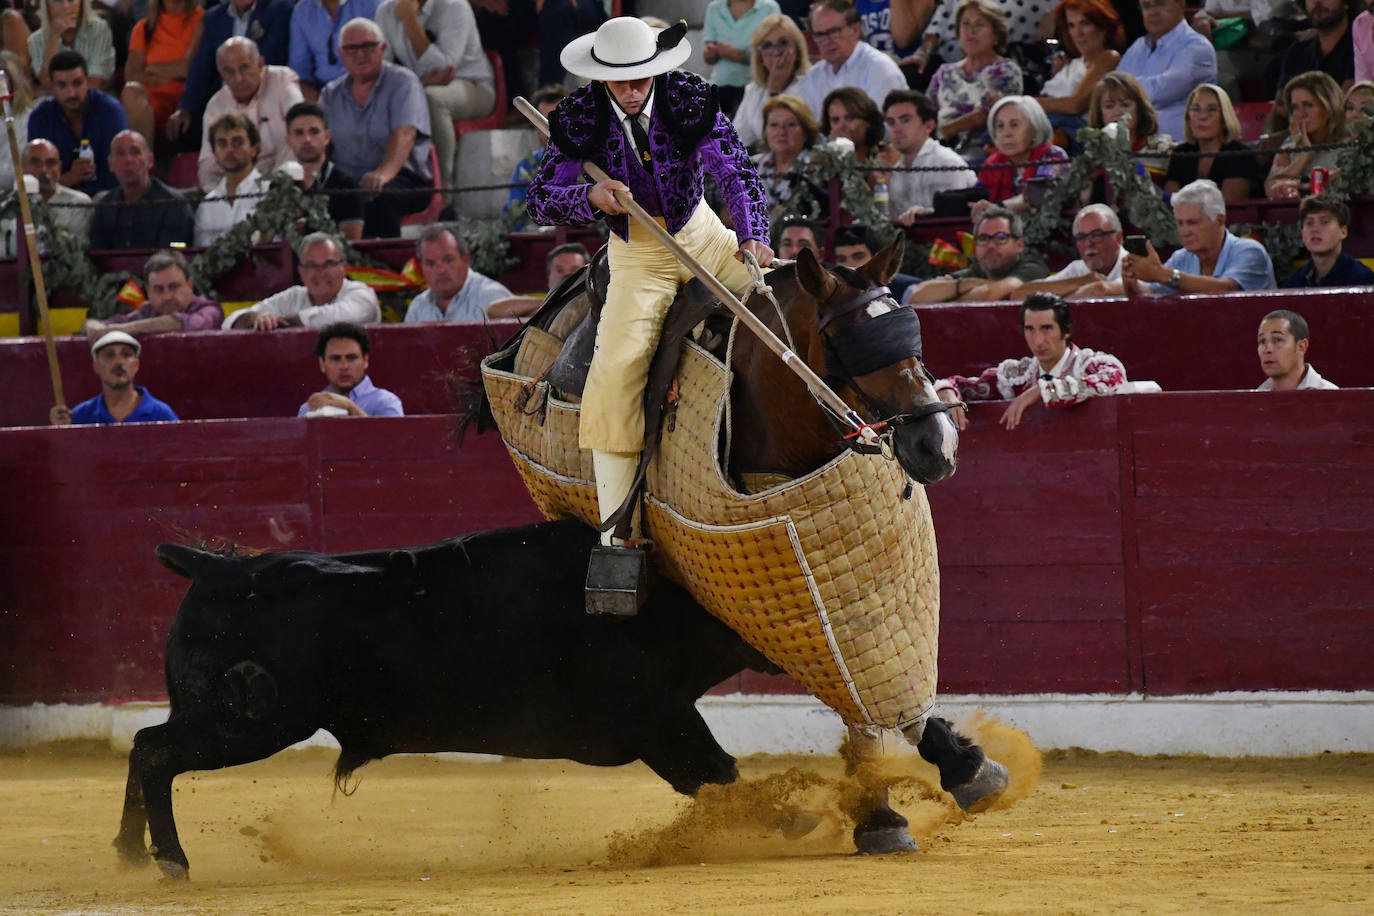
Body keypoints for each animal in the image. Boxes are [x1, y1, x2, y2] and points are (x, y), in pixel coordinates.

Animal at [118, 519, 994, 878]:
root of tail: (217, 566)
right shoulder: (659, 722)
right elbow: (721, 779)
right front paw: (818, 819)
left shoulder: (663, 724)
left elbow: (719, 780)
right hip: (249, 720)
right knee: (156, 751)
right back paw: (169, 861)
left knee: (142, 746)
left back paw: (134, 853)